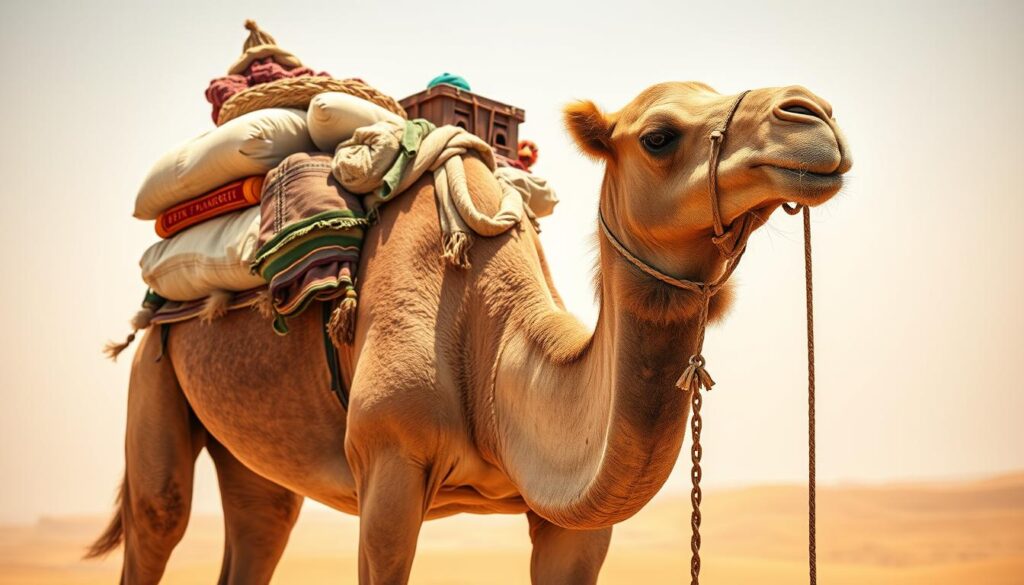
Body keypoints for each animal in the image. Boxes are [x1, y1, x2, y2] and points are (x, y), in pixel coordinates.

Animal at [89, 81, 851, 584]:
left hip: (257, 456)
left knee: (261, 518)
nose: (811, 114)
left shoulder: (573, 521)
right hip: (154, 369)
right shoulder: (387, 469)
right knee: (160, 514)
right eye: (659, 135)